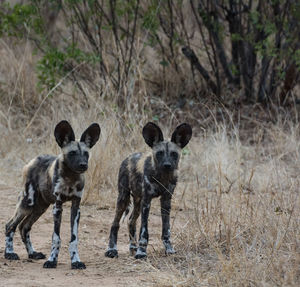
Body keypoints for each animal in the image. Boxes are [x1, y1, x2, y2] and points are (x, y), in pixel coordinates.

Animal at [4, 120, 101, 268]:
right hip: (28, 204)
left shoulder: (76, 207)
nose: (83, 165)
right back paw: (10, 253)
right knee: (10, 226)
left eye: (86, 153)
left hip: (40, 208)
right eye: (72, 153)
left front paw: (76, 261)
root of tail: (33, 160)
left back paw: (32, 253)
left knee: (24, 227)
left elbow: (74, 239)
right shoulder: (58, 206)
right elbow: (56, 238)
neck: (70, 178)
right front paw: (52, 260)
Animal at [104, 122, 191, 260]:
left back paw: (132, 247)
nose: (167, 165)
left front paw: (169, 249)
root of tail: (128, 157)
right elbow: (144, 231)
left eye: (174, 154)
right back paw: (112, 250)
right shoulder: (147, 201)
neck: (162, 177)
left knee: (131, 221)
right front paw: (142, 252)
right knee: (115, 224)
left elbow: (166, 230)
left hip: (138, 202)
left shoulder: (166, 201)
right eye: (159, 153)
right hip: (124, 198)